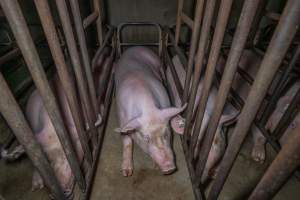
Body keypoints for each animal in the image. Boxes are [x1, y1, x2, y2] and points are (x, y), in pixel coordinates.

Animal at [114, 47, 186, 177]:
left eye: (166, 133)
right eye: (146, 138)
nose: (169, 168)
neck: (148, 108)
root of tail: (136, 47)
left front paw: (156, 167)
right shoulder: (123, 120)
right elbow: (127, 142)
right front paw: (126, 173)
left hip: (158, 62)